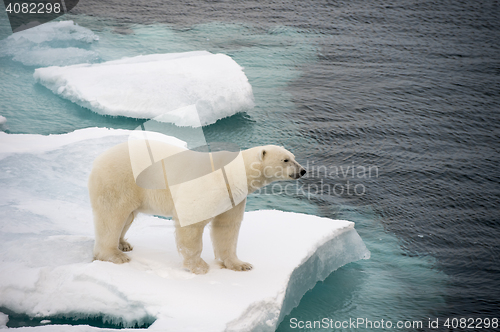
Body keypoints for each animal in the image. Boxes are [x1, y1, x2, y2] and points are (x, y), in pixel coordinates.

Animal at [87, 141, 304, 274]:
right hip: (118, 180)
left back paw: (123, 243)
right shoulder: (209, 186)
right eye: (285, 159)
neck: (232, 172)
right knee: (112, 215)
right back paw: (114, 255)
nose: (302, 170)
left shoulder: (233, 197)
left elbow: (227, 227)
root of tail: (98, 159)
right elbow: (192, 223)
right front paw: (199, 267)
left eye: (294, 156)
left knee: (127, 217)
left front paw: (240, 264)